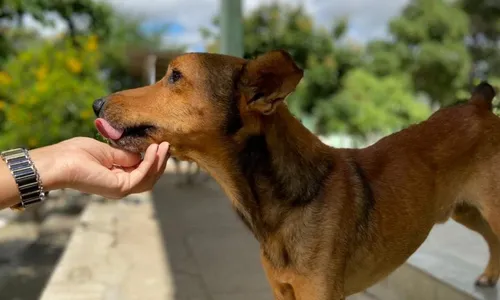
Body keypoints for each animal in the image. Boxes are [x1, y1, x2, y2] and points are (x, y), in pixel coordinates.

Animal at [93, 50, 500, 298]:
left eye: (175, 76)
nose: (96, 103)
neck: (290, 199)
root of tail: (479, 105)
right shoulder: (282, 290)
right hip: (467, 211)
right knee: (493, 239)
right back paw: (489, 276)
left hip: (490, 207)